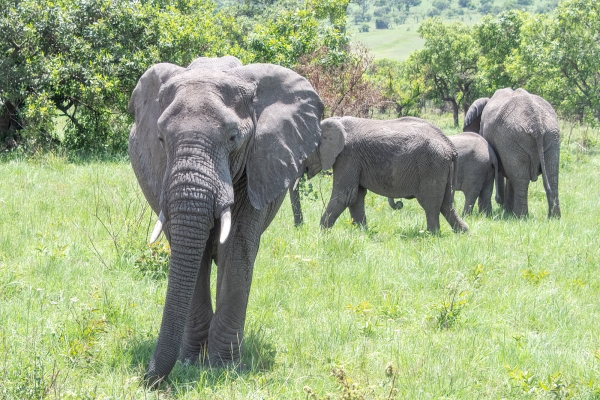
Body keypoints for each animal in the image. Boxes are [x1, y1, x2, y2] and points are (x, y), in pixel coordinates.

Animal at [127, 54, 324, 386]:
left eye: (233, 138)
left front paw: (222, 368)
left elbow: (236, 249)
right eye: (161, 139)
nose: (148, 381)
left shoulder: (258, 164)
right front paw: (192, 363)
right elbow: (193, 257)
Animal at [308, 115, 472, 233]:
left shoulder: (348, 156)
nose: (399, 204)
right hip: (441, 167)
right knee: (446, 204)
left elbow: (345, 195)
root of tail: (450, 146)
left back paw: (432, 234)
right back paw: (464, 232)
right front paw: (362, 234)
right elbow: (355, 197)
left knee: (430, 203)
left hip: (432, 165)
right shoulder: (354, 160)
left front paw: (321, 235)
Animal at [464, 88, 564, 219]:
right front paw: (507, 211)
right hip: (551, 137)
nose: (499, 200)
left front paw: (507, 211)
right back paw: (554, 218)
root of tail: (536, 123)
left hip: (513, 139)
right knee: (551, 175)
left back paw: (520, 217)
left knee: (520, 179)